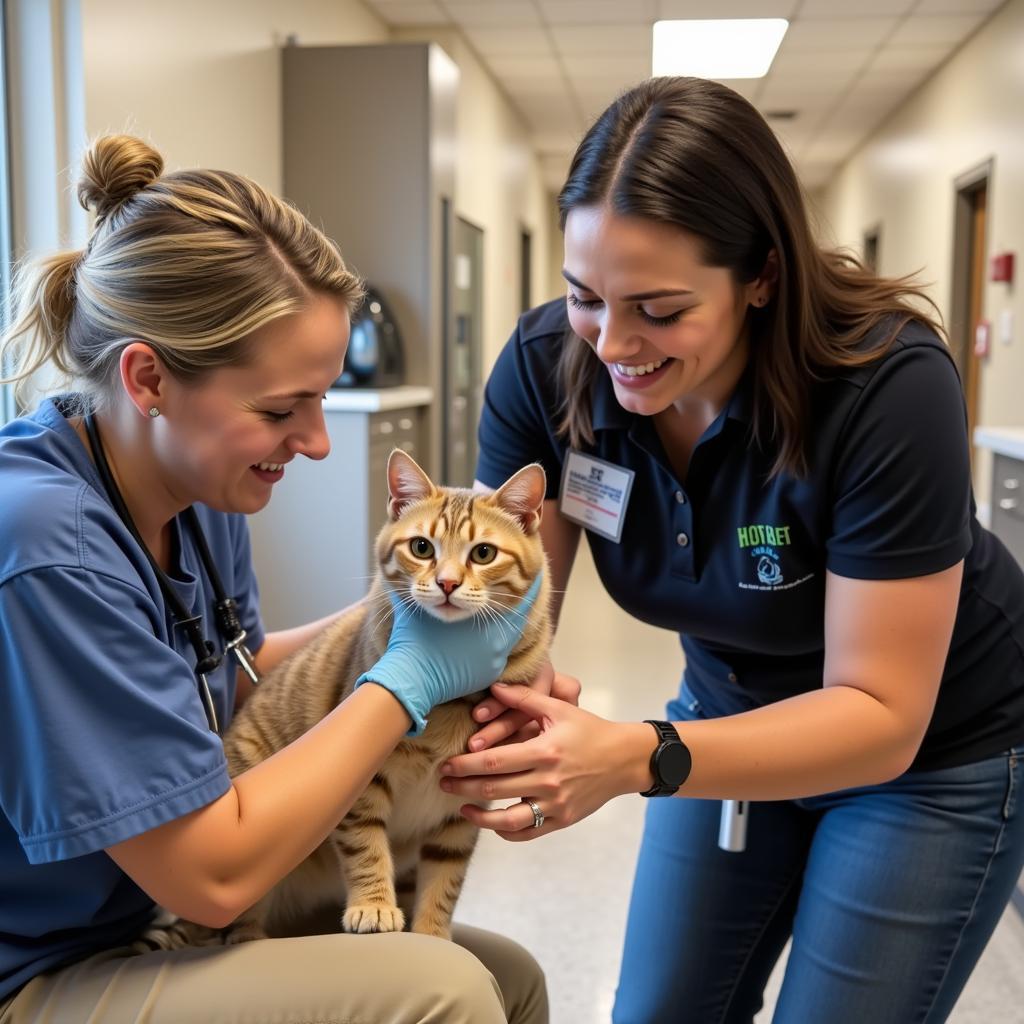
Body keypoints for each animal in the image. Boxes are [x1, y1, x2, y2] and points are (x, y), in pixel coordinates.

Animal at [144, 450, 552, 950]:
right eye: (422, 548)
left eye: (483, 553)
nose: (447, 583)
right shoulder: (365, 784)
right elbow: (365, 845)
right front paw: (373, 906)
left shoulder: (462, 809)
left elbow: (444, 881)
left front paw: (432, 934)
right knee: (238, 930)